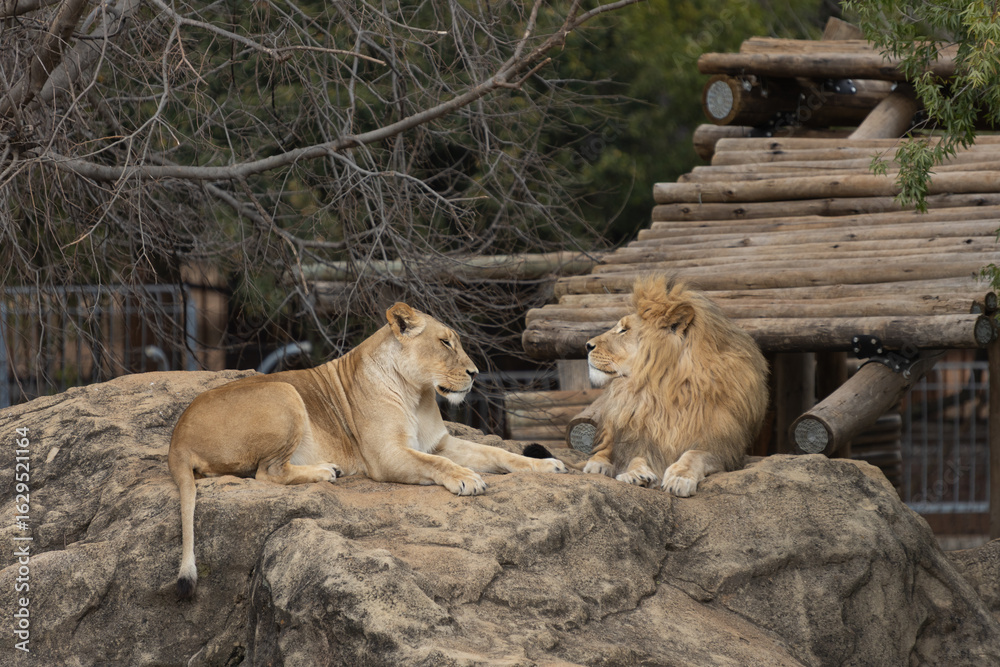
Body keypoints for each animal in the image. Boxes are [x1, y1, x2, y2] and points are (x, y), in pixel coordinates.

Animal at [168, 302, 567, 598]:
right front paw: (466, 479)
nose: (475, 373)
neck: (417, 394)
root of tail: (177, 439)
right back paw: (325, 470)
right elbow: (435, 463)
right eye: (445, 342)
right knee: (267, 473)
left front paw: (547, 464)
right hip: (284, 391)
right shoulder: (387, 456)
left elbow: (499, 454)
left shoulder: (441, 441)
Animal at [582, 275, 769, 496]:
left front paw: (679, 477)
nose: (587, 346)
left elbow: (695, 454)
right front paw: (635, 474)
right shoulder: (640, 438)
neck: (662, 387)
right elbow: (635, 457)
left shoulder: (725, 450)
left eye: (624, 330)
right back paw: (598, 466)